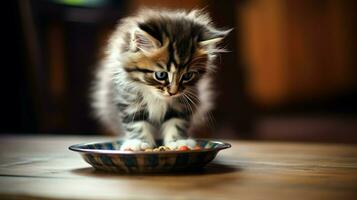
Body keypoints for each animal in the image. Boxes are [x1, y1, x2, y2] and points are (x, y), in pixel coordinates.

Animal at [90, 8, 229, 151]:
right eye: (161, 75)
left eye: (187, 76)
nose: (173, 92)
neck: (156, 97)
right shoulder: (128, 98)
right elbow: (135, 123)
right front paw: (138, 142)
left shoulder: (183, 102)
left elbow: (177, 121)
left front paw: (178, 142)